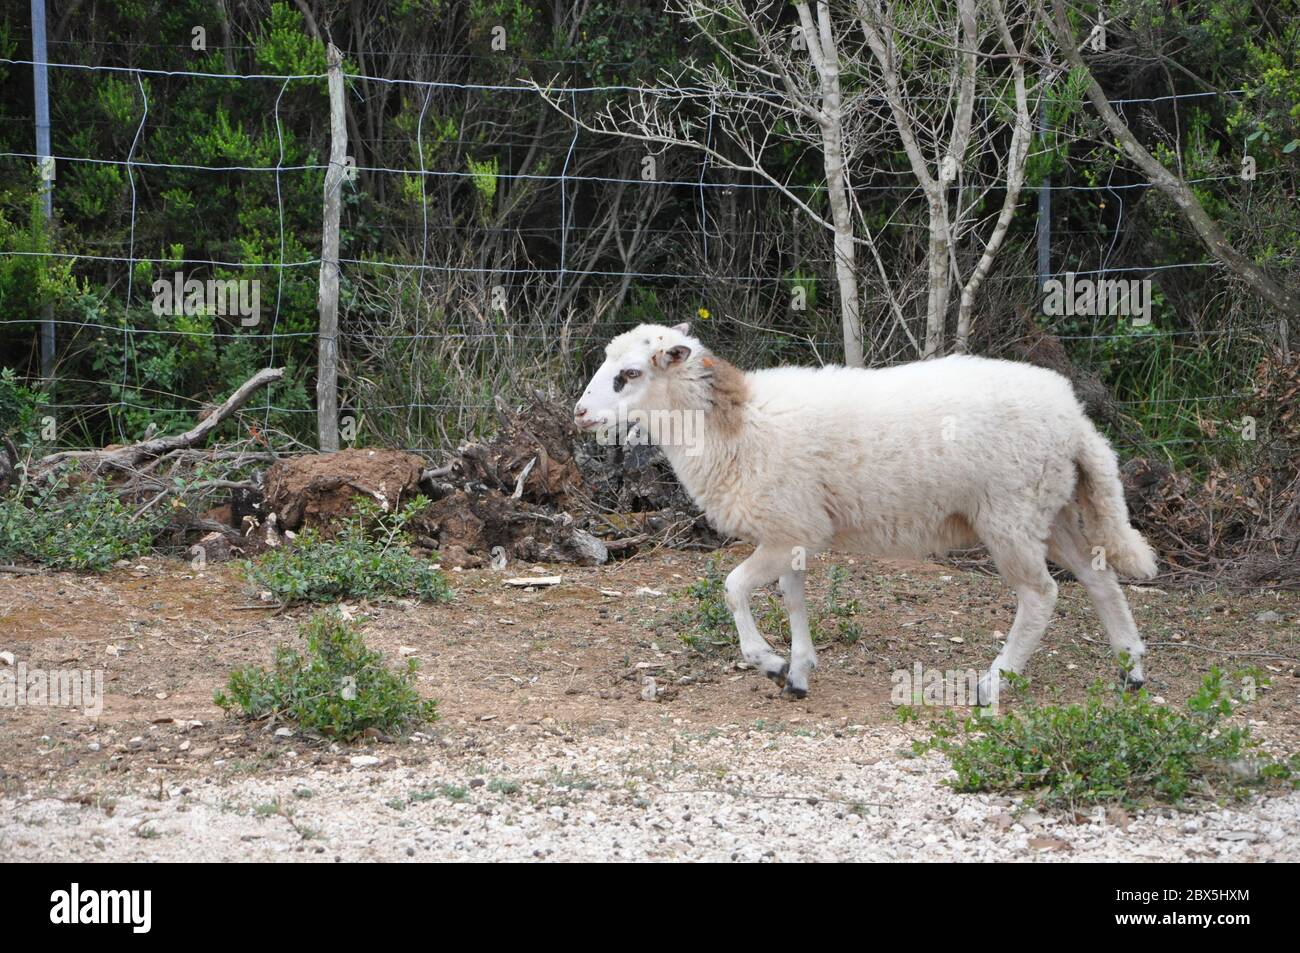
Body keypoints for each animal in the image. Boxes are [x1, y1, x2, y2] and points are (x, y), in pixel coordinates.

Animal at [579, 323, 1159, 702]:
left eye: (628, 374)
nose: (580, 413)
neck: (734, 425)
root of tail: (1075, 420)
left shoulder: (787, 529)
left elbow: (733, 587)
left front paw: (768, 663)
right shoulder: (795, 529)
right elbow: (793, 597)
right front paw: (798, 672)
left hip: (1010, 513)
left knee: (1042, 595)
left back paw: (994, 683)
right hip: (1050, 507)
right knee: (1099, 578)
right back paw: (1130, 670)